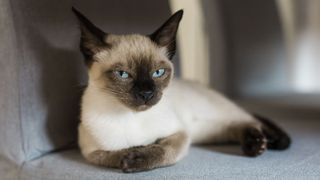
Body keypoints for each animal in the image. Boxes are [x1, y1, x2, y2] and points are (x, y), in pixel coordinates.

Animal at [72, 7, 290, 173]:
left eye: (158, 72)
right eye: (123, 74)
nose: (147, 94)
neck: (130, 116)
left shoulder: (180, 133)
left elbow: (163, 151)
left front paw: (136, 158)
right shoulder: (90, 151)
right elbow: (111, 155)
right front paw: (131, 154)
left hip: (212, 117)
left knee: (250, 120)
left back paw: (264, 143)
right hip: (209, 131)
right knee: (237, 125)